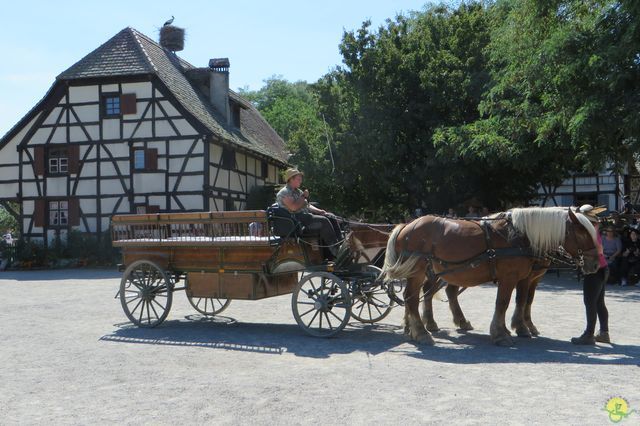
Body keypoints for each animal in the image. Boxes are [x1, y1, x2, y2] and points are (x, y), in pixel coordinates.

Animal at [382, 207, 604, 346]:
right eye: (582, 232)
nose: (595, 263)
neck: (519, 236)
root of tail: (406, 225)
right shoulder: (510, 277)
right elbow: (503, 303)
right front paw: (501, 334)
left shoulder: (525, 278)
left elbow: (522, 300)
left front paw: (518, 328)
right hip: (419, 271)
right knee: (413, 297)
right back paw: (422, 332)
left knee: (421, 295)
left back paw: (416, 328)